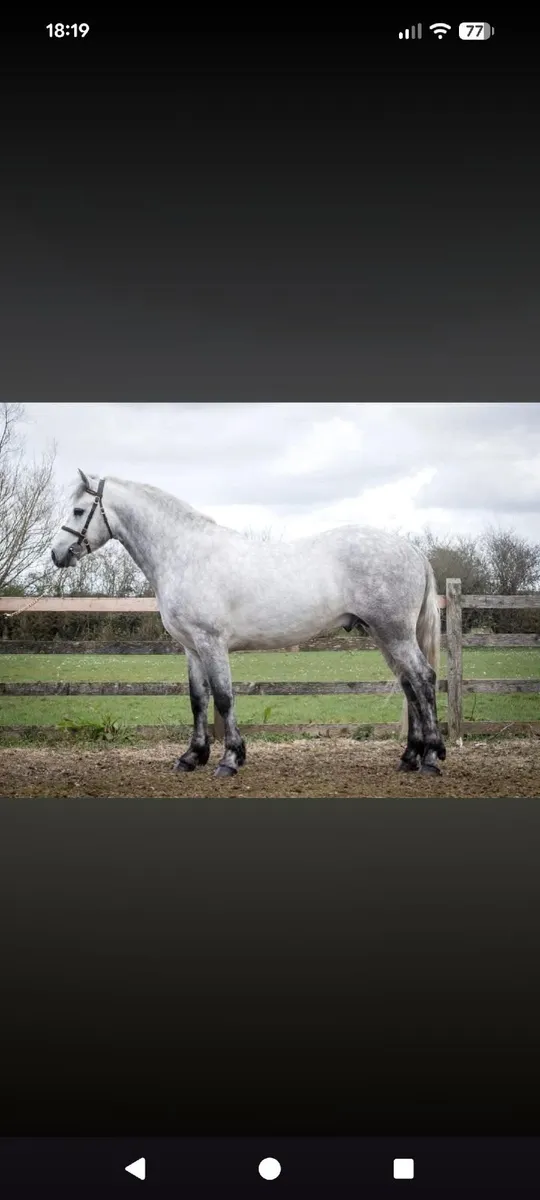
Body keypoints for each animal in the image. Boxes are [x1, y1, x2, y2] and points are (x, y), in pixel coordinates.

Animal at [50, 470, 446, 779]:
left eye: (78, 509)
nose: (56, 554)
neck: (185, 555)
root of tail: (411, 550)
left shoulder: (211, 642)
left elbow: (224, 697)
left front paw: (230, 759)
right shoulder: (191, 648)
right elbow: (198, 700)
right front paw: (191, 757)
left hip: (395, 634)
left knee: (423, 679)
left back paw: (431, 757)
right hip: (384, 636)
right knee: (409, 685)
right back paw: (409, 757)